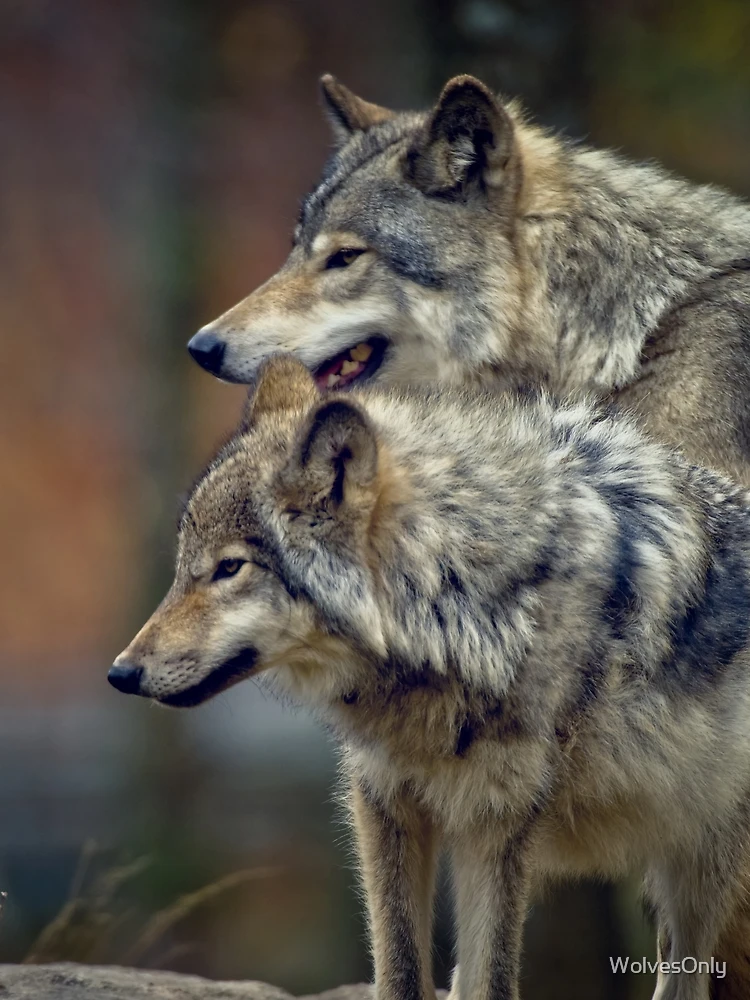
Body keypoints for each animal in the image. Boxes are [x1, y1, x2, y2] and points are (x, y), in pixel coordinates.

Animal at [112, 356, 750, 1000]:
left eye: (229, 568)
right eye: (182, 568)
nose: (121, 673)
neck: (457, 596)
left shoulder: (496, 823)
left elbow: (493, 979)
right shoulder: (384, 799)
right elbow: (402, 968)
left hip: (698, 876)